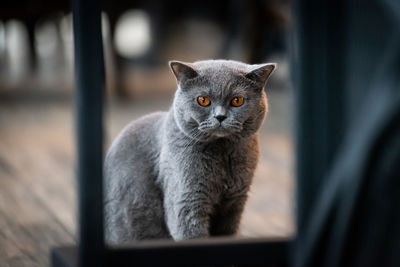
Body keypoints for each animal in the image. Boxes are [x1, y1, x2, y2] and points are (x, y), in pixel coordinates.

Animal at [104, 59, 276, 244]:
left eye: (237, 100)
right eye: (203, 100)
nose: (220, 117)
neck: (222, 153)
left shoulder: (234, 204)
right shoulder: (187, 202)